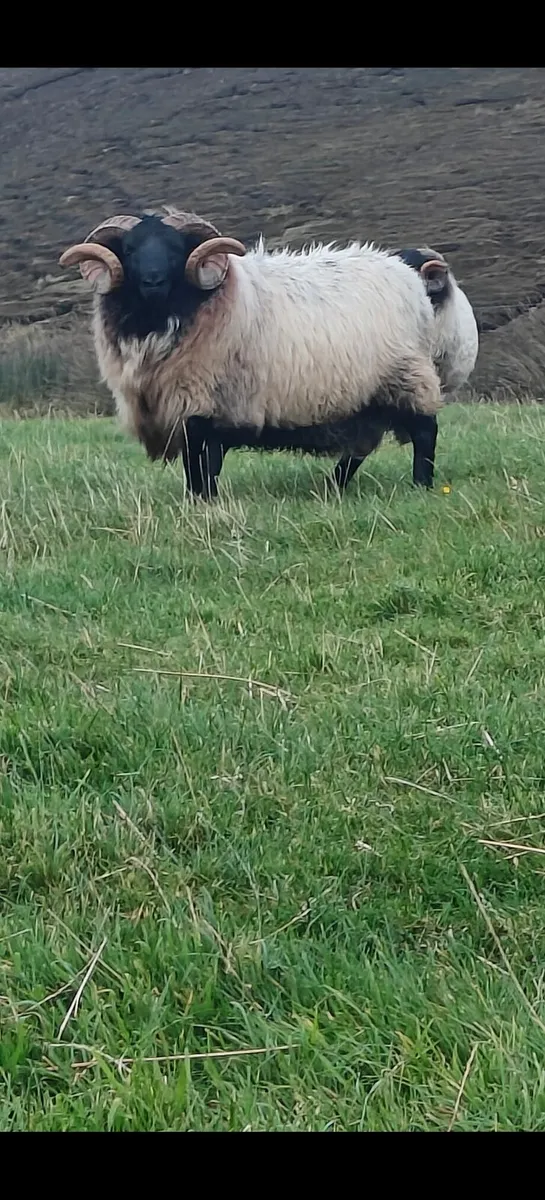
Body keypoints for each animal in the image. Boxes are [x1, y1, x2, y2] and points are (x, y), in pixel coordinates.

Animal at [59, 207, 443, 500]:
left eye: (176, 249)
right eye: (129, 248)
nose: (153, 281)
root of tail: (407, 274)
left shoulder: (208, 401)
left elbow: (204, 459)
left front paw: (204, 501)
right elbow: (195, 462)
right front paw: (196, 498)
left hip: (407, 376)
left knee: (425, 431)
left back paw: (421, 486)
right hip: (366, 397)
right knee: (358, 449)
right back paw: (333, 488)